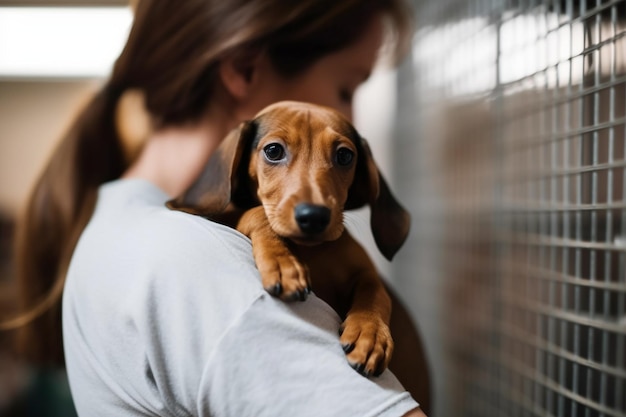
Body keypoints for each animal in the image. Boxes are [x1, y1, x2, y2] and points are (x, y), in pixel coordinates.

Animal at [167, 101, 410, 376]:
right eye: (273, 151)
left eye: (345, 156)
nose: (314, 217)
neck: (312, 251)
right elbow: (257, 212)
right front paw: (283, 262)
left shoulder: (364, 273)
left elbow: (375, 291)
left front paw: (370, 331)